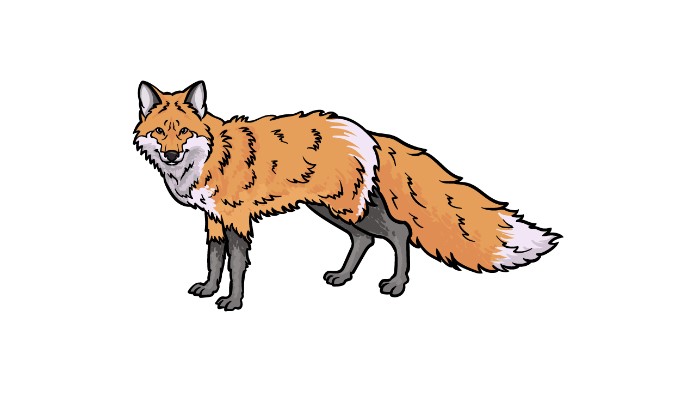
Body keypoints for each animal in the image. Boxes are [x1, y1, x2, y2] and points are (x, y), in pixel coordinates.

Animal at [133, 81, 561, 311]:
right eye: (160, 132)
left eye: (184, 132)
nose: (170, 155)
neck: (207, 159)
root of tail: (367, 132)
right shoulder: (214, 218)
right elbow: (213, 259)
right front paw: (208, 290)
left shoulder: (237, 218)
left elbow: (236, 265)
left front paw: (234, 302)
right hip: (330, 209)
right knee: (365, 239)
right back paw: (342, 277)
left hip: (346, 207)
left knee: (399, 232)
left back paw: (397, 285)